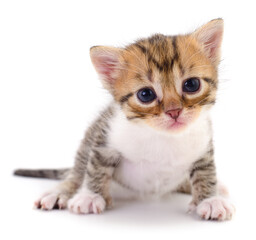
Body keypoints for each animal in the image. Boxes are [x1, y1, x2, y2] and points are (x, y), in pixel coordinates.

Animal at [13, 18, 234, 220]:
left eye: (192, 84)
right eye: (146, 94)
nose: (174, 111)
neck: (163, 137)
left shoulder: (203, 144)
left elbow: (206, 170)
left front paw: (210, 199)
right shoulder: (105, 133)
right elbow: (96, 165)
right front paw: (90, 196)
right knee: (76, 171)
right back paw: (61, 192)